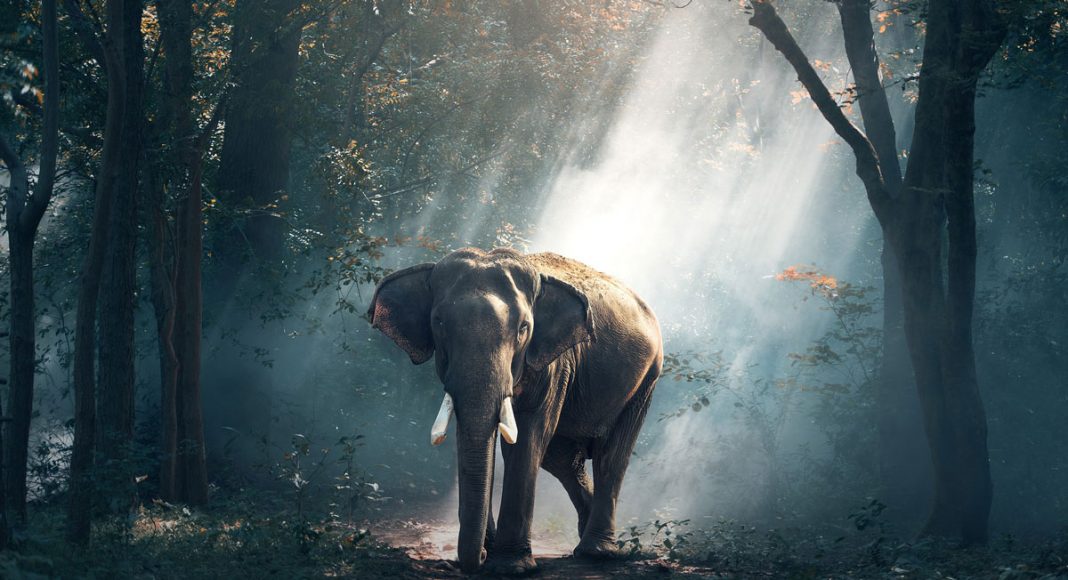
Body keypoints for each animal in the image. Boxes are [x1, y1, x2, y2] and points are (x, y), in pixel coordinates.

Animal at [367, 247, 662, 574]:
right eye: (439, 323)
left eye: (523, 328)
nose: (480, 557)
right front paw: (493, 552)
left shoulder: (554, 363)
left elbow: (527, 438)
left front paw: (510, 566)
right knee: (562, 459)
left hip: (646, 379)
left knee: (611, 455)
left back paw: (597, 553)